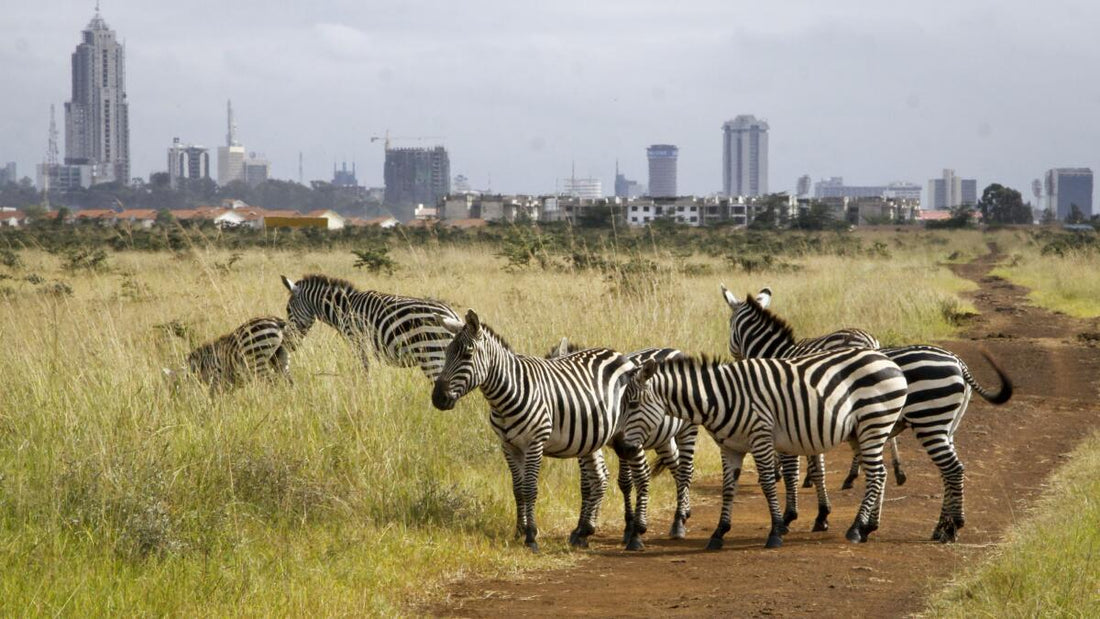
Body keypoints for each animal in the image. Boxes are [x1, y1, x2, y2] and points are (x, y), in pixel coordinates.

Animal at [283, 274, 459, 380]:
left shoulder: (356, 340)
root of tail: (453, 316)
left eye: (288, 310)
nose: (289, 345)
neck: (344, 308)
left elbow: (364, 369)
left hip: (431, 355)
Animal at [431, 310, 638, 551]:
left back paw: (631, 531)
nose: (438, 398)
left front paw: (531, 535)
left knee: (631, 477)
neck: (506, 394)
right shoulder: (508, 445)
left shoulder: (534, 443)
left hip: (625, 431)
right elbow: (518, 489)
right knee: (599, 477)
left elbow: (530, 488)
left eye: (467, 355)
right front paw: (519, 531)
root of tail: (617, 353)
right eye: (446, 353)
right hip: (592, 438)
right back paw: (583, 531)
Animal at [547, 338, 695, 547]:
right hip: (664, 439)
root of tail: (675, 349)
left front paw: (632, 529)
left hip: (687, 429)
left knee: (686, 470)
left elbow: (630, 479)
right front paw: (582, 528)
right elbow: (590, 483)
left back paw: (678, 522)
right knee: (676, 467)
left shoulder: (631, 439)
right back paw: (684, 512)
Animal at [624, 351, 906, 549]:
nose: (625, 449)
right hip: (860, 432)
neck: (720, 398)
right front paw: (719, 533)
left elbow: (769, 483)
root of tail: (888, 361)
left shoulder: (760, 437)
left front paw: (775, 532)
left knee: (875, 475)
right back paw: (868, 527)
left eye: (633, 404)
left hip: (874, 424)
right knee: (880, 474)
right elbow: (728, 489)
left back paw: (856, 528)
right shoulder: (730, 447)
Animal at [721, 285, 1012, 543]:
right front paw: (822, 515)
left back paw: (951, 528)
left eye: (729, 326)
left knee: (952, 469)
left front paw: (790, 517)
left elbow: (795, 471)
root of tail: (957, 361)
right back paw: (941, 527)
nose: (732, 358)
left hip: (928, 420)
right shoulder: (810, 424)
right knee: (948, 472)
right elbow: (818, 470)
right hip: (946, 425)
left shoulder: (793, 423)